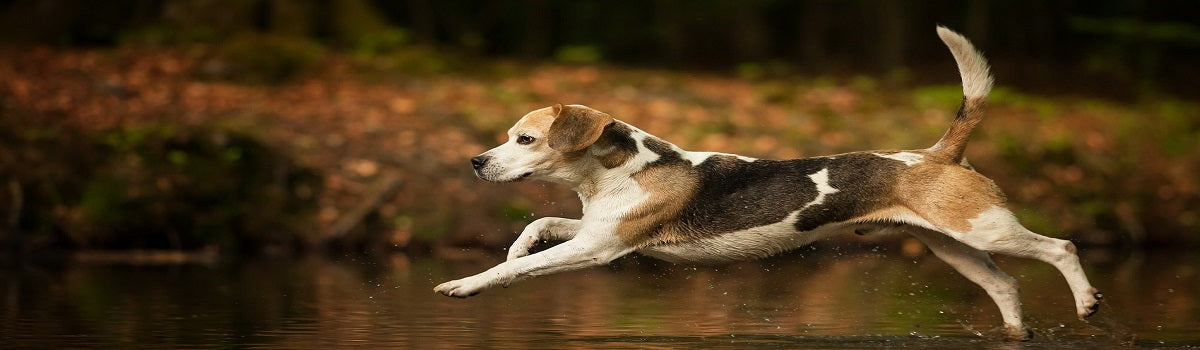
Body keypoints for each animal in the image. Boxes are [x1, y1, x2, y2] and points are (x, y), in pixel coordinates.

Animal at [436, 27, 1099, 342]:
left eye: (526, 140)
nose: (475, 162)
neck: (619, 170)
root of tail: (939, 153)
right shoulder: (596, 229)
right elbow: (538, 226)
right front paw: (514, 246)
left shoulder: (600, 248)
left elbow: (517, 270)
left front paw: (465, 284)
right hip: (953, 246)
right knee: (1006, 284)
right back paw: (1017, 331)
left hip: (986, 229)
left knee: (1061, 246)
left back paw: (1087, 301)